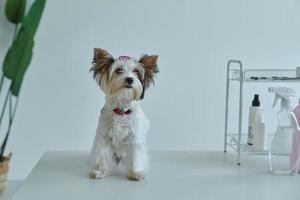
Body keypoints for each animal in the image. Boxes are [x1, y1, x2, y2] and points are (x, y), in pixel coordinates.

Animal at [89, 47, 159, 180]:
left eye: (136, 72)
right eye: (118, 70)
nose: (129, 79)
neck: (122, 111)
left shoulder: (135, 138)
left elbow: (136, 156)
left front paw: (136, 172)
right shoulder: (104, 137)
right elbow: (103, 154)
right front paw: (101, 172)